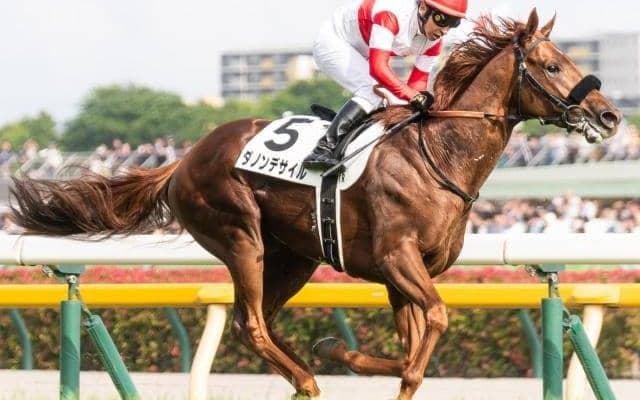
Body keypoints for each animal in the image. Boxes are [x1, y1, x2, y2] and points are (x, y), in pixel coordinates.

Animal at [10, 9, 621, 400]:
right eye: (551, 65)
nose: (611, 115)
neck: (438, 153)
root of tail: (183, 159)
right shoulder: (399, 260)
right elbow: (434, 327)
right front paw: (340, 353)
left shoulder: (400, 275)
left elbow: (410, 354)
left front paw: (335, 348)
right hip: (241, 238)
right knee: (251, 323)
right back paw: (305, 378)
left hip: (295, 257)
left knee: (259, 320)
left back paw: (305, 369)